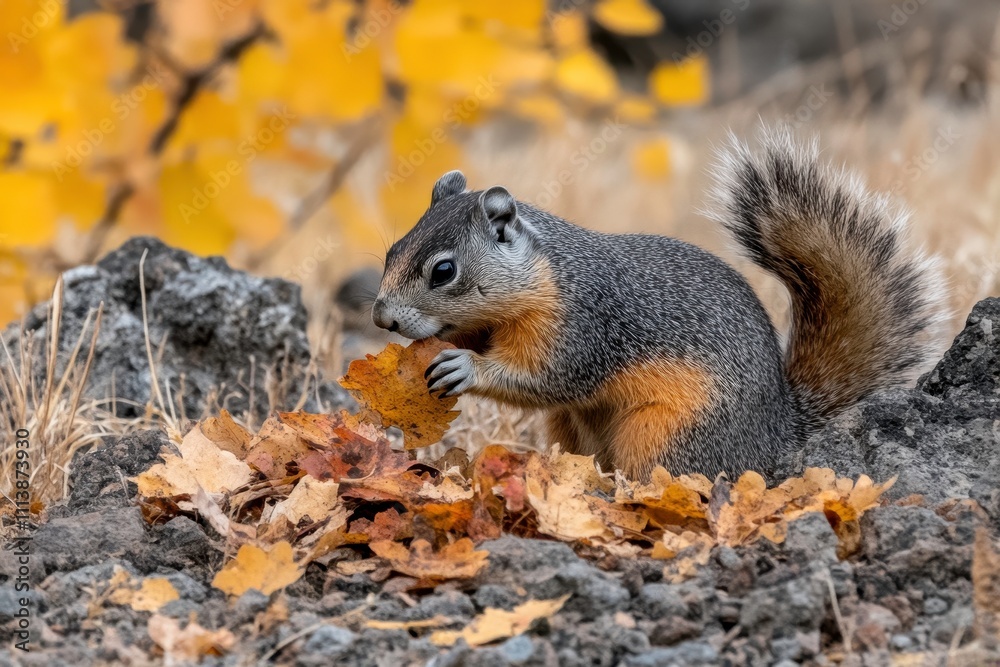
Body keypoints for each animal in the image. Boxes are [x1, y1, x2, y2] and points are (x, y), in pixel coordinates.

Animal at [371, 131, 948, 480]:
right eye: (393, 250)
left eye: (443, 271)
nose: (383, 317)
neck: (544, 275)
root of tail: (778, 439)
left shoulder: (582, 325)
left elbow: (545, 377)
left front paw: (466, 367)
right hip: (572, 430)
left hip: (668, 434)